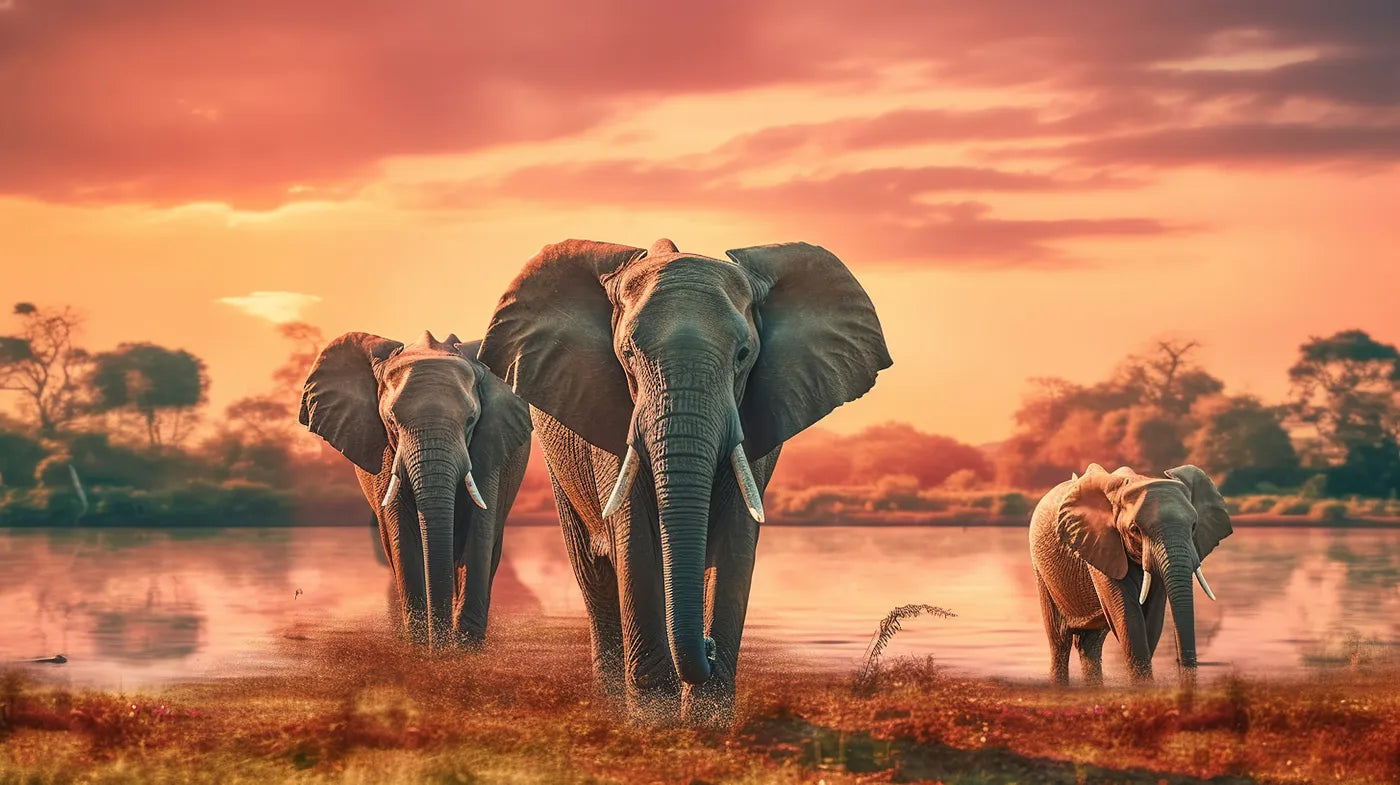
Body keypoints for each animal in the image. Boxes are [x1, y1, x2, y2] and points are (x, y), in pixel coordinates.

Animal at [300, 330, 532, 649]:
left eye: (471, 420)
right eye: (391, 422)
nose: (441, 646)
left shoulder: (490, 443)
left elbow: (479, 531)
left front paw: (464, 649)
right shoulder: (386, 453)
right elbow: (403, 533)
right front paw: (422, 646)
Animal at [478, 238, 890, 724]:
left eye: (743, 355)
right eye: (628, 355)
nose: (706, 647)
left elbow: (735, 540)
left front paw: (708, 723)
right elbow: (634, 539)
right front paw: (654, 722)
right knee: (595, 577)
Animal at [1028, 463, 1233, 686]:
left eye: (1194, 526)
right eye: (1135, 529)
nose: (1181, 662)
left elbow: (1151, 618)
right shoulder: (1102, 546)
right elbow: (1128, 617)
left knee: (1090, 644)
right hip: (1042, 572)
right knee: (1059, 641)